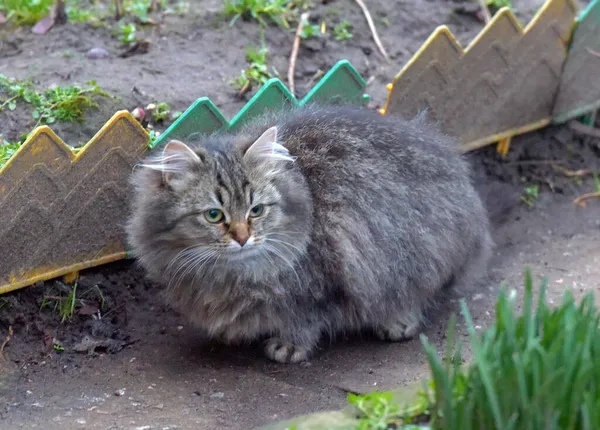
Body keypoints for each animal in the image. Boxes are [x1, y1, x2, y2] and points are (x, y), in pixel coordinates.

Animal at [125, 104, 492, 362]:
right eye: (214, 215)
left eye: (256, 211)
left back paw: (398, 321)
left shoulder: (318, 286)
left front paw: (288, 347)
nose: (242, 238)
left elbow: (303, 322)